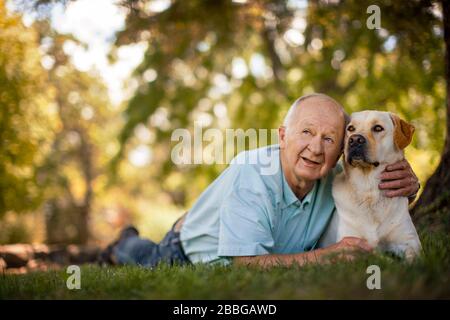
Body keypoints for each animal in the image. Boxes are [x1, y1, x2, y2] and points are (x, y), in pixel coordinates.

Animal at [320, 110, 422, 260]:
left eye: (378, 128)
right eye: (350, 128)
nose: (355, 140)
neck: (369, 189)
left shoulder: (410, 241)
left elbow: (413, 256)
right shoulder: (349, 242)